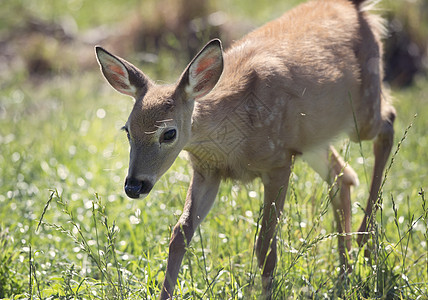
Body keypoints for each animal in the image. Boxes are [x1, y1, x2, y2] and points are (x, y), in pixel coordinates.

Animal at [95, 0, 396, 296]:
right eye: (127, 130)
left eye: (169, 133)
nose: (134, 186)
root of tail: (356, 8)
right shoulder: (207, 170)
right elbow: (179, 234)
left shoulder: (278, 161)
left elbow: (265, 247)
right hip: (313, 141)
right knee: (343, 176)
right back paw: (345, 272)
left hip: (361, 116)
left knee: (388, 122)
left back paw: (365, 241)